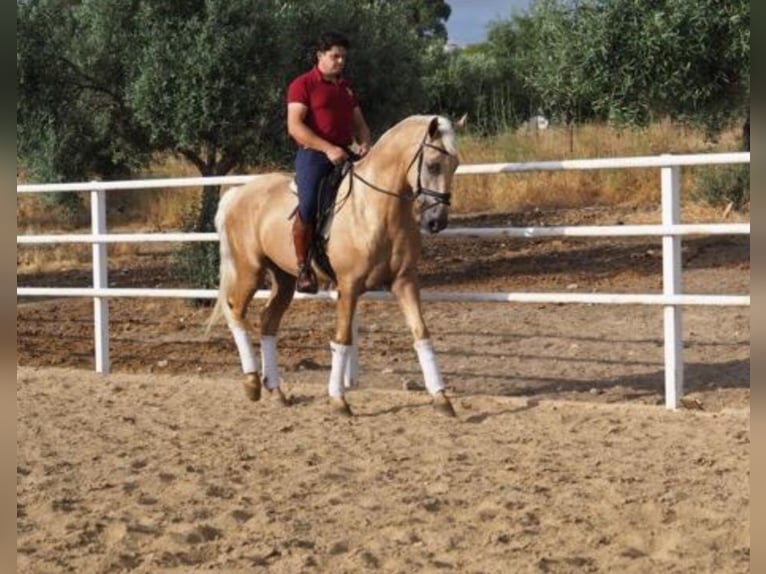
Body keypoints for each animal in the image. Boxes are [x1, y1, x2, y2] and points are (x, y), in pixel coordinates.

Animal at [207, 113, 464, 418]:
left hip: (284, 278)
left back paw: (276, 392)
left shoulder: (404, 282)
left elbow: (421, 334)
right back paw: (251, 384)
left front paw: (441, 398)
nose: (437, 222)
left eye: (456, 165)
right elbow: (342, 338)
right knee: (235, 311)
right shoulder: (348, 286)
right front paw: (338, 399)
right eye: (433, 165)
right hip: (249, 270)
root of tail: (237, 193)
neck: (375, 208)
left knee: (268, 321)